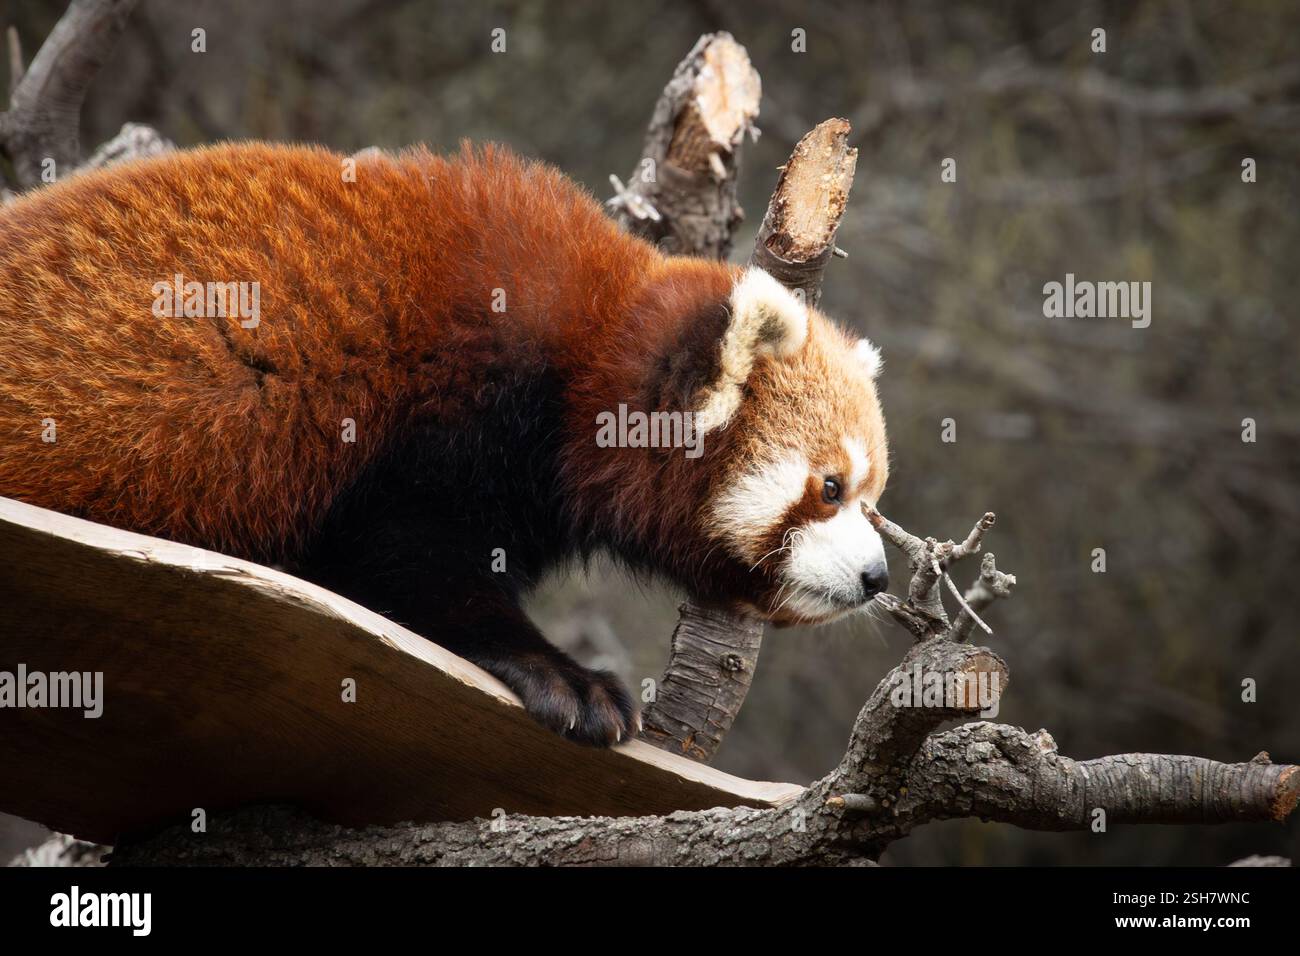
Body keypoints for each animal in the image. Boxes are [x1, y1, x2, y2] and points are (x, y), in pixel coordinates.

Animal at [0, 142, 889, 746]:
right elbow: (411, 562)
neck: (580, 361)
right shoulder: (440, 424)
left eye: (872, 499)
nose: (879, 577)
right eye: (831, 488)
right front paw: (566, 678)